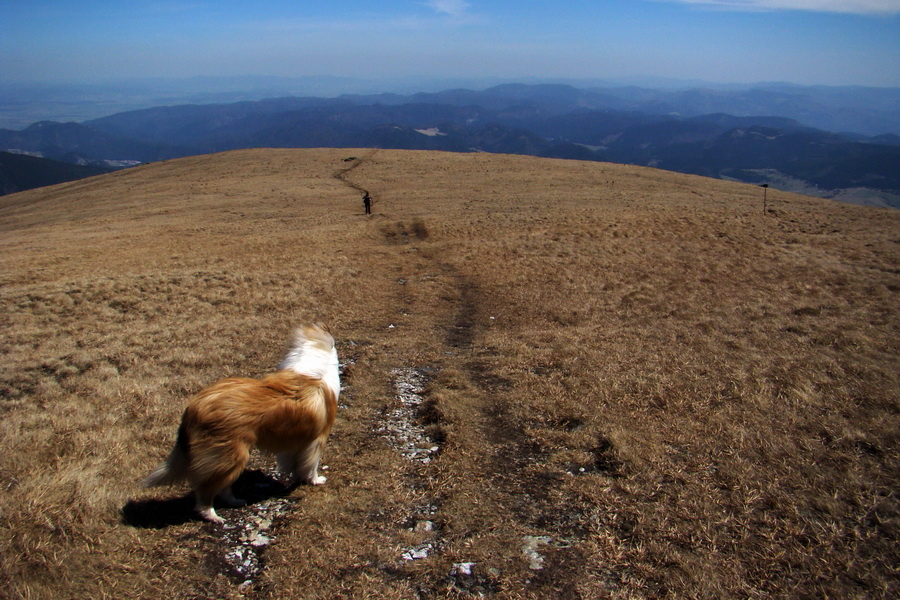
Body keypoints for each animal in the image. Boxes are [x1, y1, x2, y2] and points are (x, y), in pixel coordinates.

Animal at [144, 326, 342, 524]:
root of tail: (193, 408)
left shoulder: (294, 439)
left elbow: (293, 461)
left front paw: (295, 474)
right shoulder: (317, 439)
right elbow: (311, 464)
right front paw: (315, 480)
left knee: (222, 486)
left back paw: (235, 501)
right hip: (230, 456)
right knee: (205, 491)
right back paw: (213, 515)